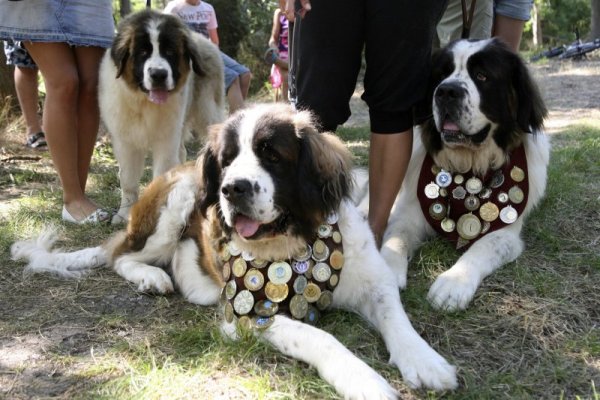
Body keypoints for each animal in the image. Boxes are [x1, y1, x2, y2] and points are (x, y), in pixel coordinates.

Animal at [12, 104, 460, 400]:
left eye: (272, 155)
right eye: (227, 161)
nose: (232, 189)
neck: (297, 241)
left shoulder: (373, 279)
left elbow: (396, 316)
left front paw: (425, 361)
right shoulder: (248, 313)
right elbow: (318, 337)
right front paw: (366, 382)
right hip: (177, 197)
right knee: (120, 255)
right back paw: (151, 277)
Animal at [99, 9, 226, 225]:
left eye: (170, 52)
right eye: (142, 52)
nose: (158, 74)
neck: (144, 102)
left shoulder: (166, 141)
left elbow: (161, 175)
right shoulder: (126, 143)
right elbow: (128, 179)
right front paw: (124, 214)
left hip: (208, 112)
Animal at [358, 37, 552, 310]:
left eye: (482, 76)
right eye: (441, 74)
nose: (446, 91)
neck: (469, 167)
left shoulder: (506, 231)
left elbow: (482, 248)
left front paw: (453, 284)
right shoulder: (411, 212)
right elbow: (397, 236)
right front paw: (385, 268)